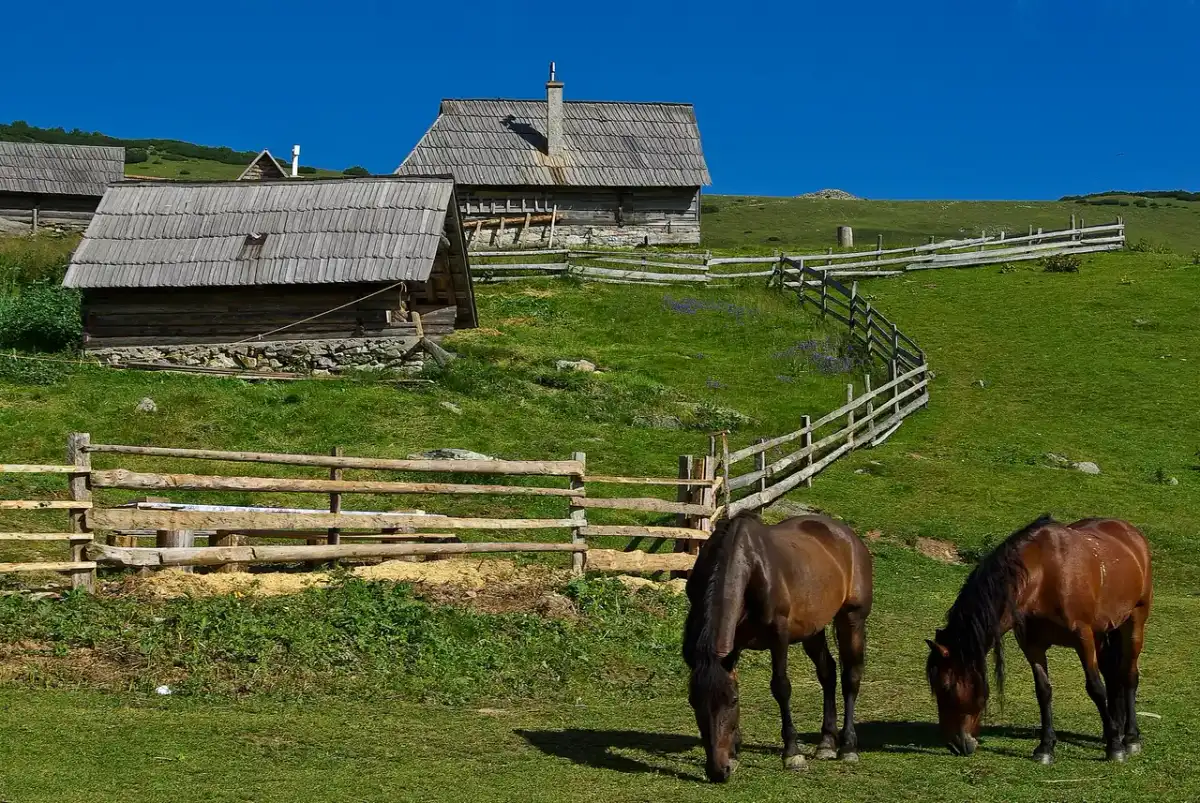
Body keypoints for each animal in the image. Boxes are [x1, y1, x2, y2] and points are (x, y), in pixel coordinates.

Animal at [681, 512, 874, 783]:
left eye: (732, 701)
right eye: (693, 701)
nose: (718, 771)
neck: (750, 567)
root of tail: (847, 535)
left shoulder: (779, 636)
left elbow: (781, 688)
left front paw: (792, 753)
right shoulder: (733, 645)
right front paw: (734, 753)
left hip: (852, 619)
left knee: (851, 677)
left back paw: (847, 747)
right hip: (812, 629)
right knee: (828, 673)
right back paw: (826, 743)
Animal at [925, 515, 1152, 764]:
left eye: (945, 687)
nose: (954, 744)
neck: (1043, 577)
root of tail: (1130, 532)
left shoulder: (1083, 638)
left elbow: (1095, 687)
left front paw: (1115, 748)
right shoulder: (1032, 645)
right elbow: (1043, 691)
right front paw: (1045, 747)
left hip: (1134, 622)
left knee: (1129, 675)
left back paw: (1130, 737)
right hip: (1103, 632)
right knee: (1113, 676)